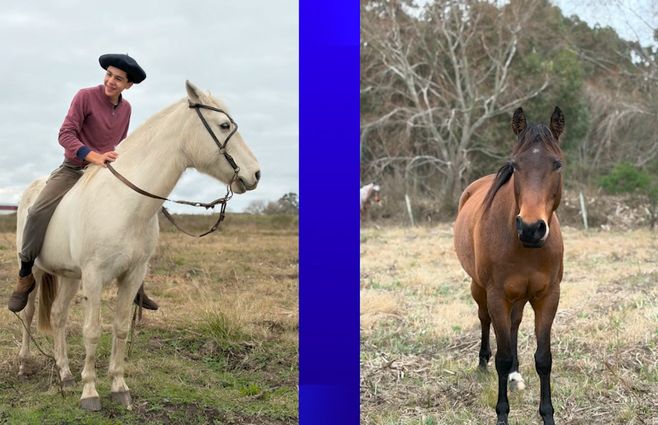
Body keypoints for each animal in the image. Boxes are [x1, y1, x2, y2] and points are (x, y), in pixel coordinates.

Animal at [16, 80, 261, 411]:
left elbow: (120, 328)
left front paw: (119, 387)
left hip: (68, 276)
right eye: (224, 125)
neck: (124, 203)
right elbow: (92, 331)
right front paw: (90, 392)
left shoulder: (132, 275)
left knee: (57, 316)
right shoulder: (94, 277)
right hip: (38, 270)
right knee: (29, 312)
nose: (256, 173)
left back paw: (64, 374)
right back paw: (25, 364)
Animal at [453, 107, 565, 425]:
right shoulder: (497, 295)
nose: (531, 228)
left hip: (520, 296)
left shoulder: (547, 297)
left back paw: (516, 373)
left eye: (557, 164)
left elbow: (544, 358)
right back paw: (482, 363)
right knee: (484, 319)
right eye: (515, 165)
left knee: (514, 323)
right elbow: (501, 358)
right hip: (479, 288)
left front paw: (547, 415)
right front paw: (502, 414)